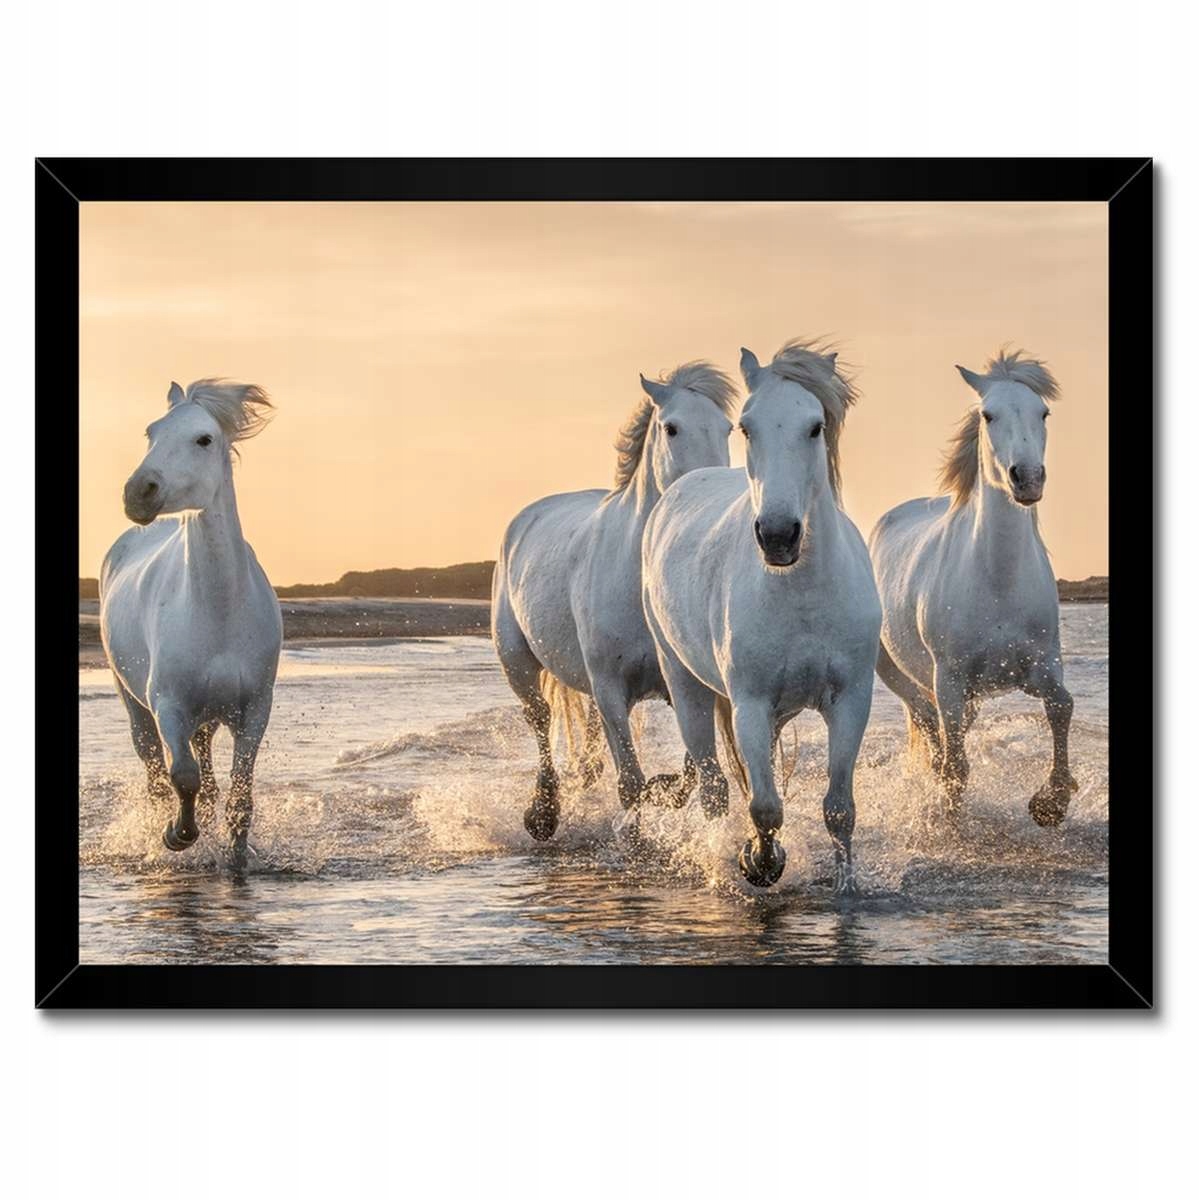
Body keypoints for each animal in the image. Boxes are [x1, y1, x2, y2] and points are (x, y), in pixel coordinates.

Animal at [100, 379, 283, 862]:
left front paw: (236, 855)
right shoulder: (169, 705)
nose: (138, 492)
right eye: (151, 432)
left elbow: (240, 795)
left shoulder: (254, 709)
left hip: (207, 716)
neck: (218, 613)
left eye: (204, 439)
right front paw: (177, 835)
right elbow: (182, 775)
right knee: (155, 770)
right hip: (135, 704)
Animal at [492, 361, 737, 840]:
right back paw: (543, 814)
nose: (709, 491)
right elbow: (630, 782)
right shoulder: (610, 689)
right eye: (671, 427)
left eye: (727, 428)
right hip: (518, 663)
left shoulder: (680, 684)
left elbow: (688, 772)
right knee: (540, 720)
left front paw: (663, 791)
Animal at [643, 341, 881, 890]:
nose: (777, 535)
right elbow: (765, 806)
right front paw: (760, 861)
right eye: (747, 427)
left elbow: (839, 808)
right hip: (684, 684)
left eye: (815, 426)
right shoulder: (749, 704)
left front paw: (846, 886)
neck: (803, 594)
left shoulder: (850, 700)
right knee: (713, 785)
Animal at [869, 349, 1077, 826]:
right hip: (900, 674)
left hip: (974, 694)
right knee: (929, 726)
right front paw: (951, 819)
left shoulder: (1042, 666)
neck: (998, 582)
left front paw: (1051, 802)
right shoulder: (949, 679)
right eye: (988, 414)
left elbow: (1062, 705)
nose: (1027, 478)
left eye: (1043, 412)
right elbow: (955, 765)